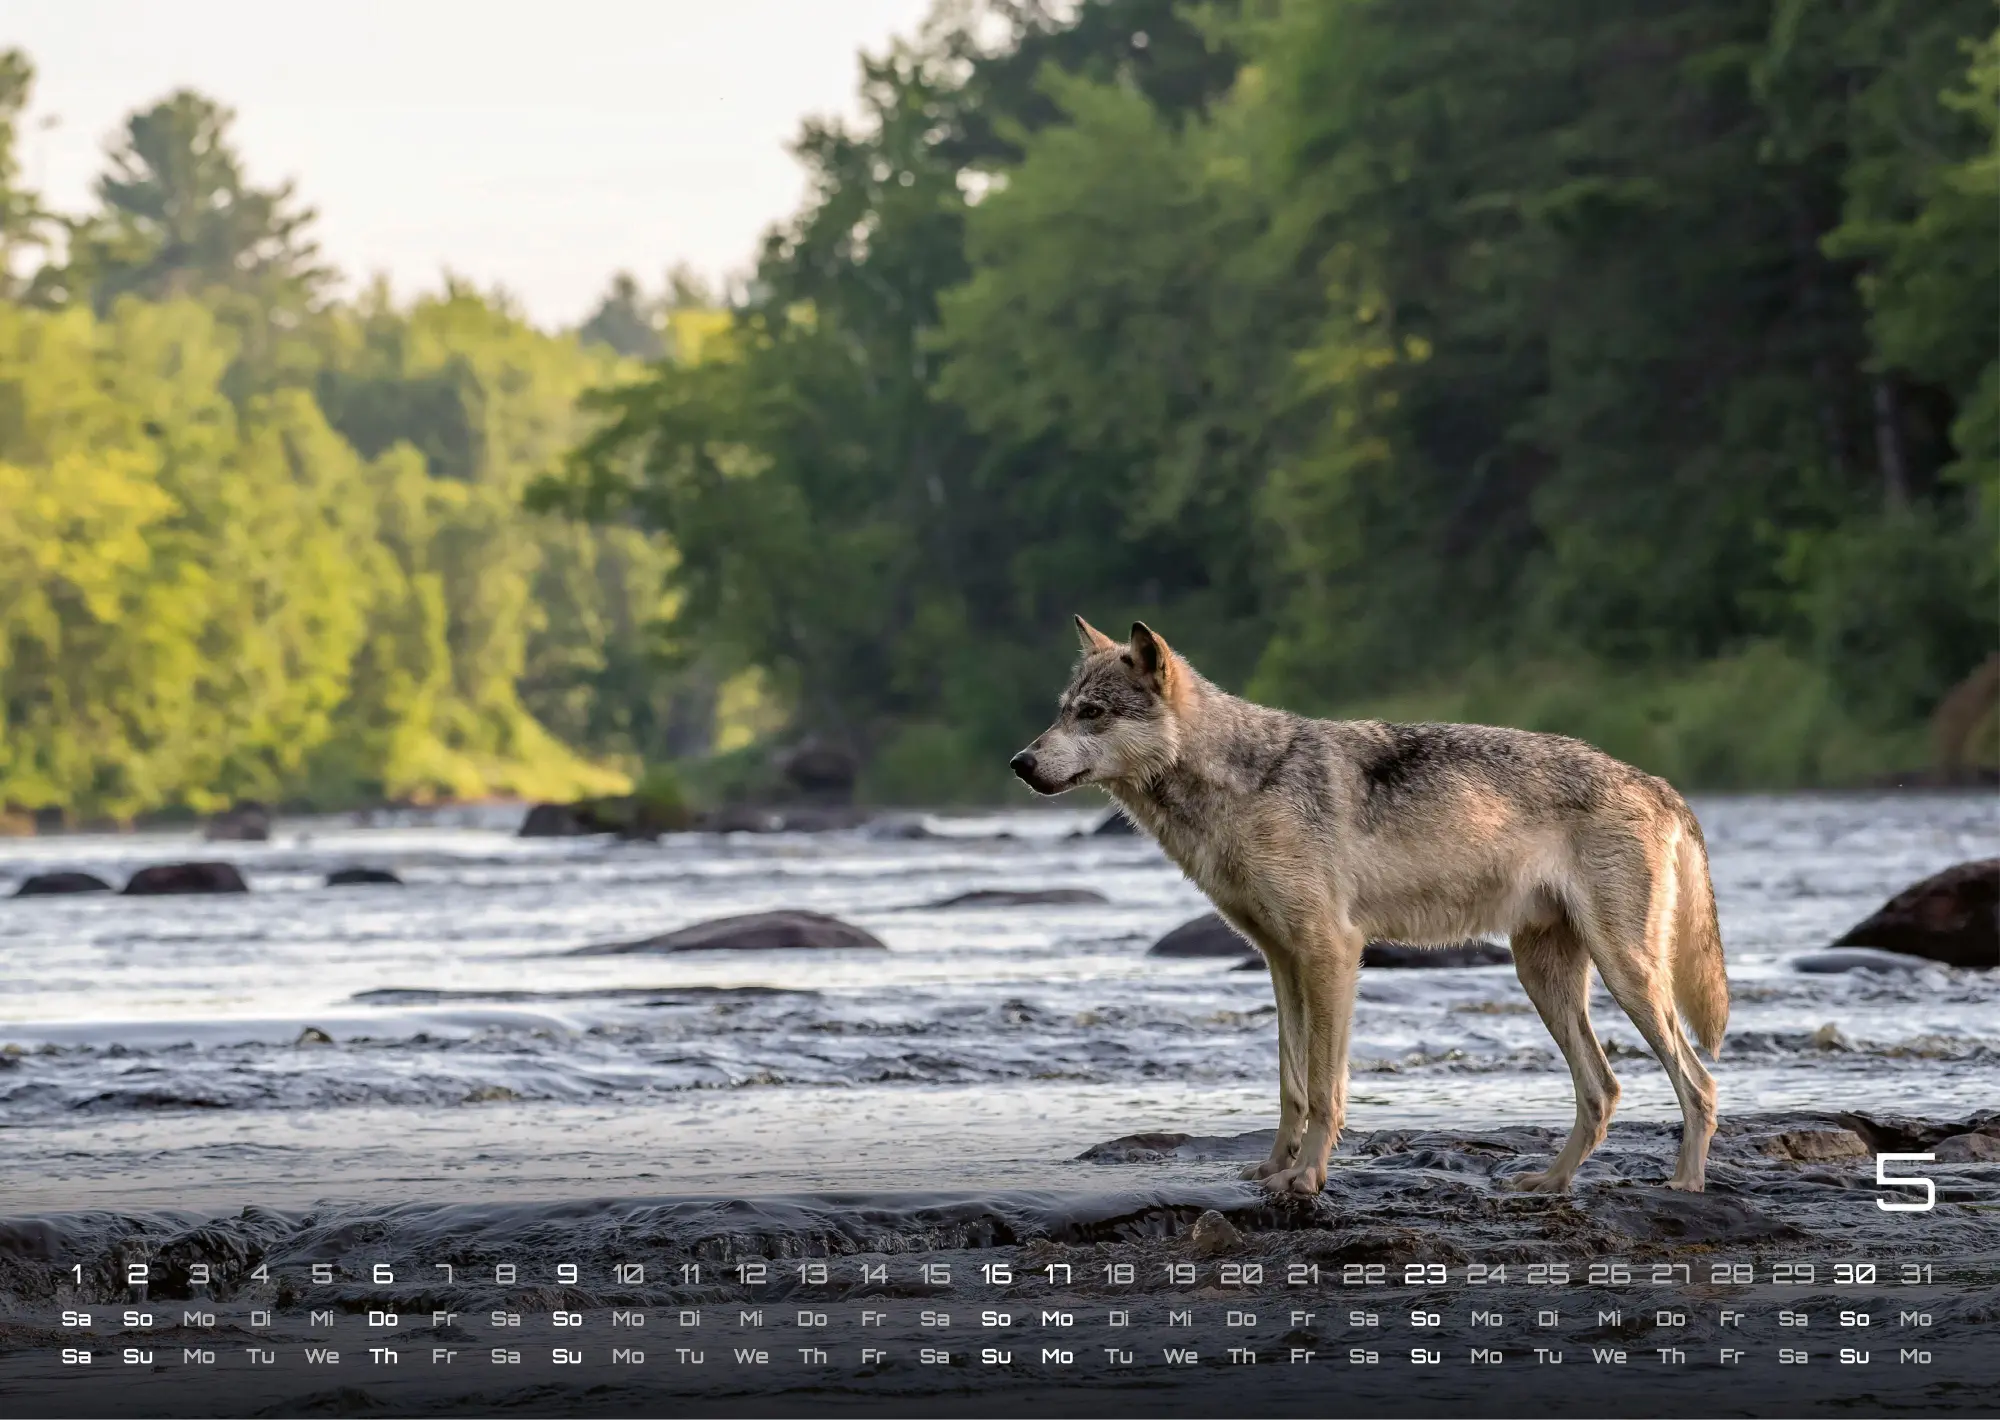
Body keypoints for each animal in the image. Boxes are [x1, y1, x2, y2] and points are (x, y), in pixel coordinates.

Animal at [1011, 617, 1728, 1198]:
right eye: (1063, 712)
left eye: (1093, 714)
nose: (1020, 762)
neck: (1242, 780)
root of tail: (1658, 783)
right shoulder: (1282, 963)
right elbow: (1292, 1088)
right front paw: (1274, 1170)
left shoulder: (1330, 952)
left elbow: (1326, 1090)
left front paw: (1306, 1178)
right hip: (1543, 978)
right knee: (1603, 1090)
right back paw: (1550, 1182)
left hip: (1626, 976)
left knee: (1697, 1083)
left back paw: (1685, 1185)